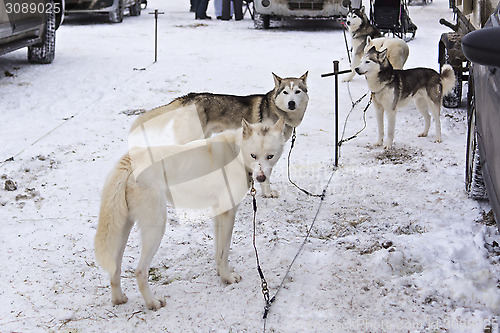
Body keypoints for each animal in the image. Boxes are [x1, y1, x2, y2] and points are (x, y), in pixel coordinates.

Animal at [95, 117, 288, 308]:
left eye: (270, 156)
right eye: (253, 155)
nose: (261, 178)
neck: (236, 153)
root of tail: (132, 158)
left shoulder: (218, 213)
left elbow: (219, 252)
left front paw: (220, 273)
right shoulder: (228, 213)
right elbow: (225, 252)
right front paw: (228, 278)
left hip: (123, 230)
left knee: (115, 268)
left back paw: (119, 299)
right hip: (156, 228)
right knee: (140, 271)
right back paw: (152, 303)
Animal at [129, 72, 308, 197]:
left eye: (298, 91)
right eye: (285, 92)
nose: (291, 103)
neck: (278, 111)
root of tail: (190, 96)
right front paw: (267, 192)